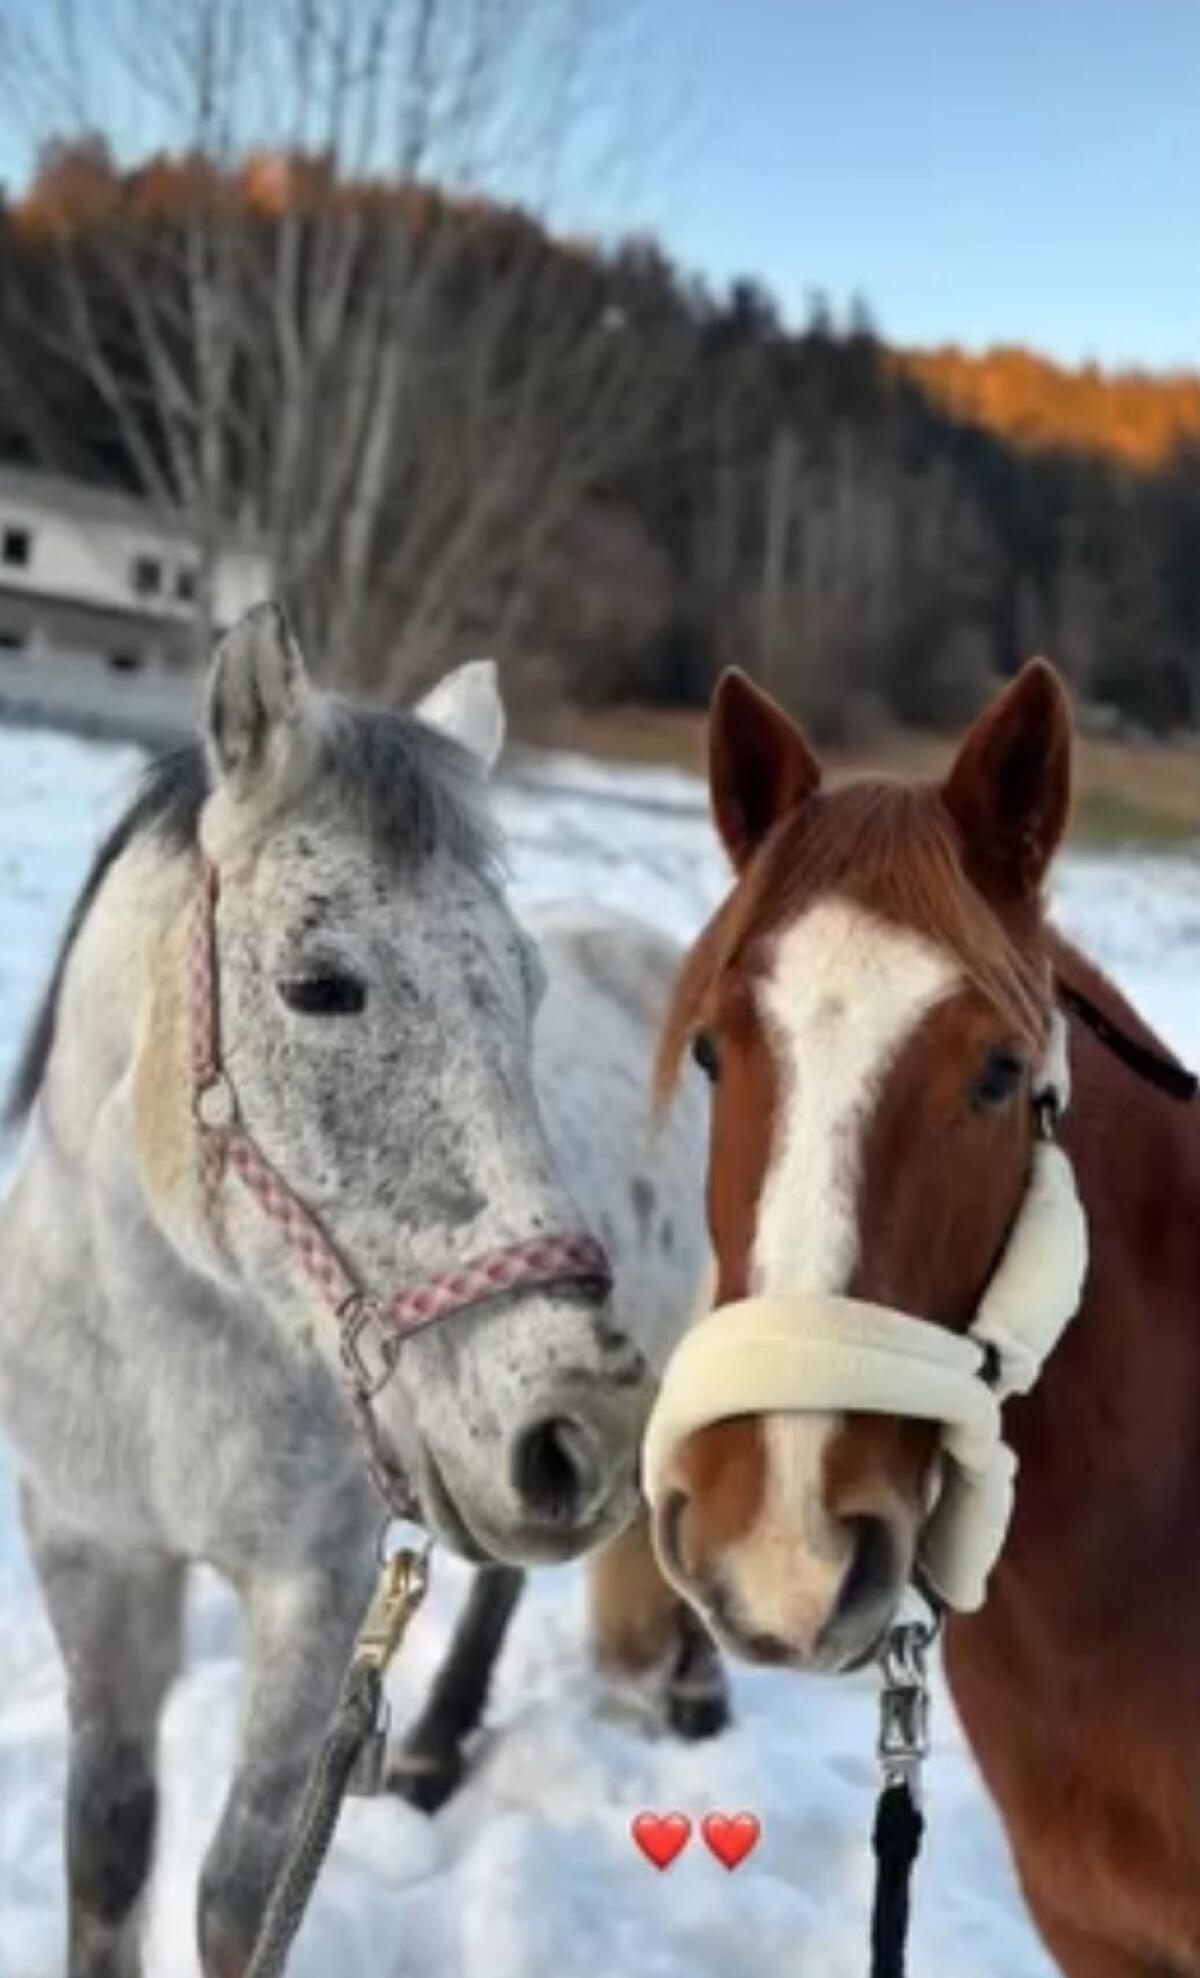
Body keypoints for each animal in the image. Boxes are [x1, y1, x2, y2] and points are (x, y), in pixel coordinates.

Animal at [0, 602, 724, 1978]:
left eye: (526, 989)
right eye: (318, 985)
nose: (582, 1427)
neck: (159, 1349)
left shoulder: (315, 1590)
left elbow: (238, 1896)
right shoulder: (95, 1559)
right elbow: (107, 1848)